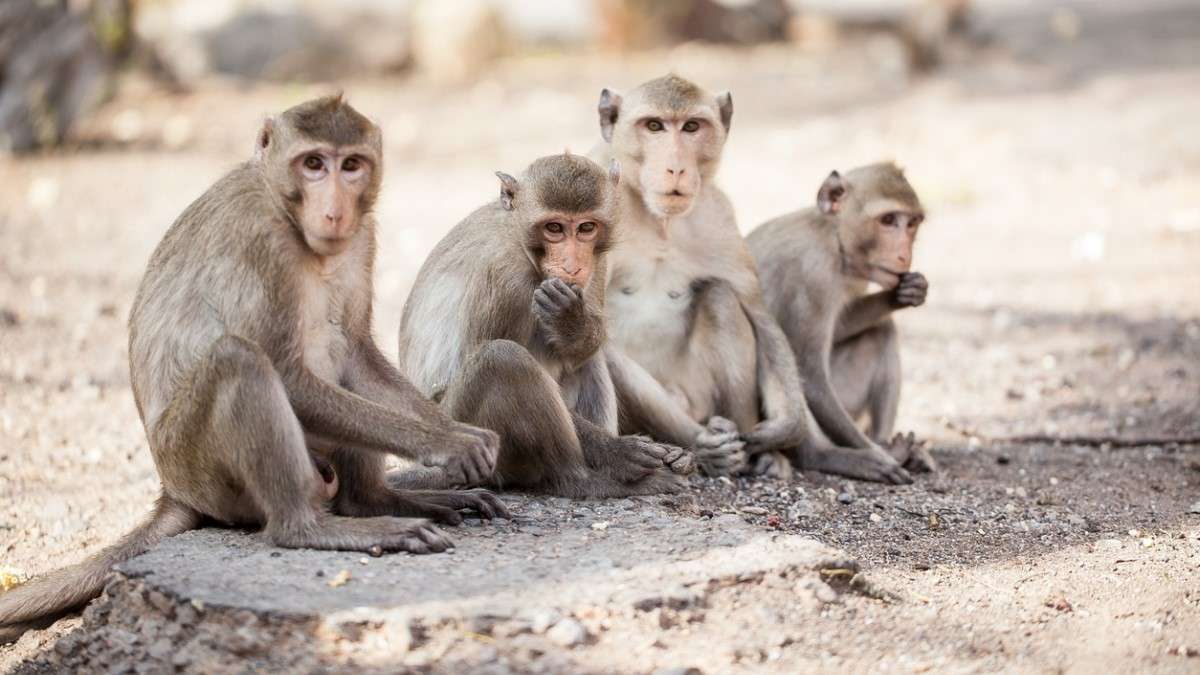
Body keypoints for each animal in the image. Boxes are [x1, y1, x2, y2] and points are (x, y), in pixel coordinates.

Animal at [0, 94, 506, 638]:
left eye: (351, 165)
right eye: (313, 164)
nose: (334, 211)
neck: (285, 208)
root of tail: (173, 490)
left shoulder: (363, 235)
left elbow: (354, 352)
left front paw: (453, 429)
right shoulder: (262, 239)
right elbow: (287, 375)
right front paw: (448, 442)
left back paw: (373, 502)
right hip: (202, 468)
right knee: (238, 360)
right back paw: (311, 529)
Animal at [396, 152, 696, 497]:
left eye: (586, 228)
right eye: (554, 228)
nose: (572, 266)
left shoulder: (599, 260)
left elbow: (582, 348)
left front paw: (572, 324)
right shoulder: (505, 277)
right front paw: (617, 451)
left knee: (587, 360)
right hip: (471, 437)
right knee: (502, 359)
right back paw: (585, 480)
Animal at [748, 162, 936, 473]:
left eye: (912, 223)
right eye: (888, 220)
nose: (904, 256)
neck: (832, 238)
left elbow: (841, 327)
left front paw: (905, 293)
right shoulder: (813, 275)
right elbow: (809, 375)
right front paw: (879, 456)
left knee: (882, 331)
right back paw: (832, 455)